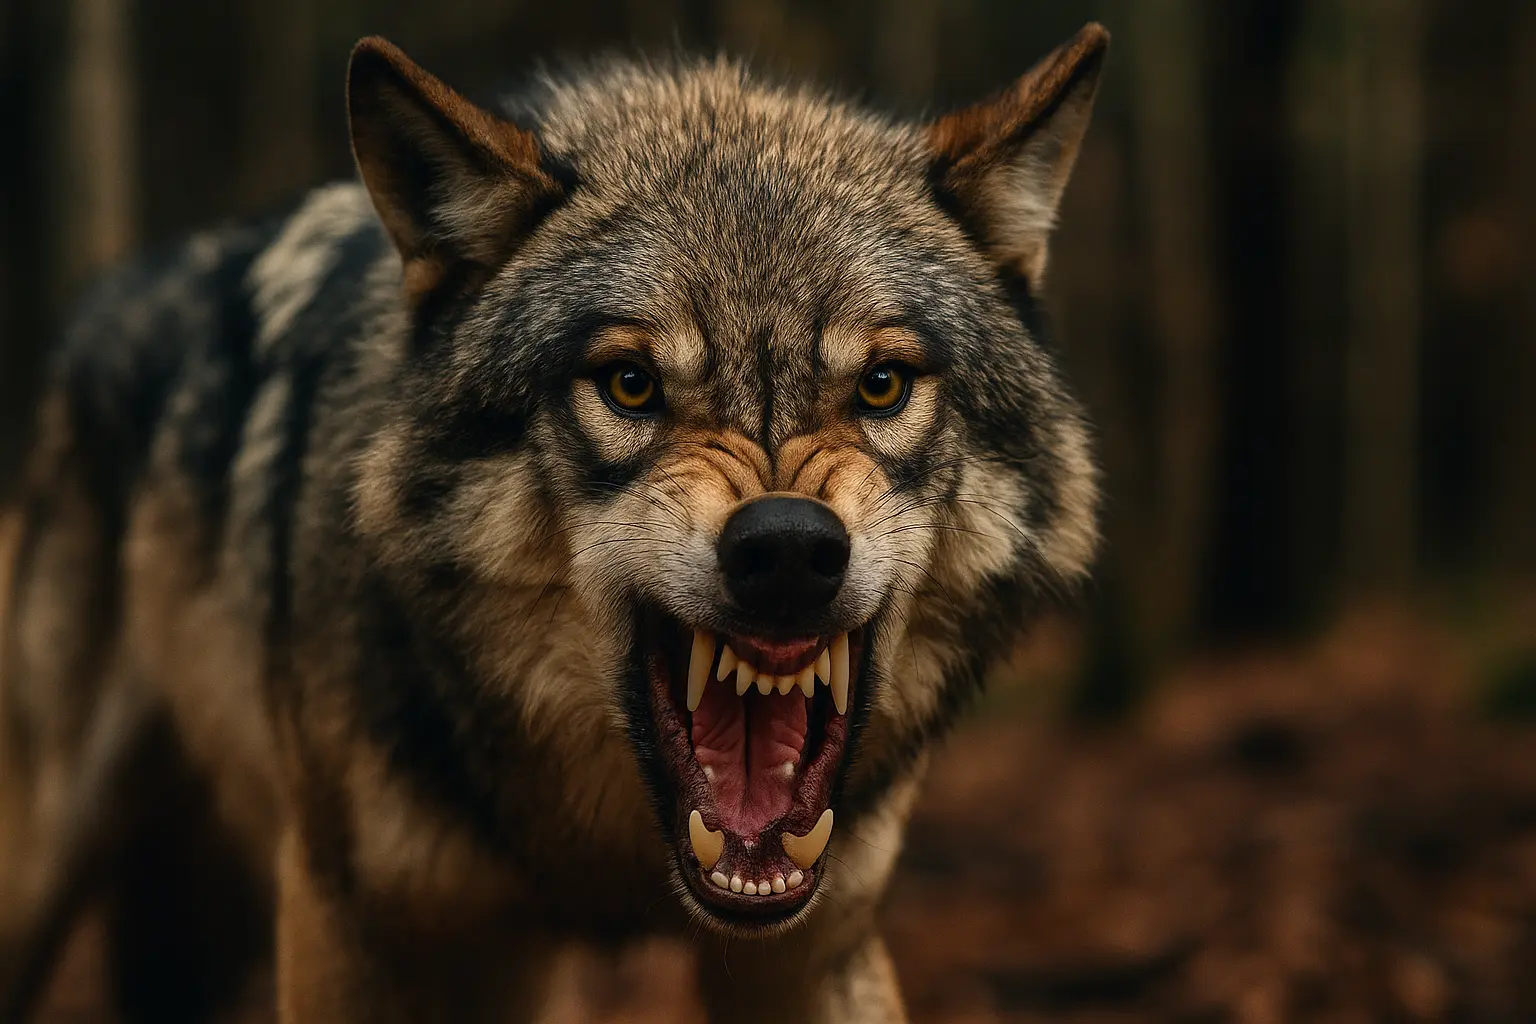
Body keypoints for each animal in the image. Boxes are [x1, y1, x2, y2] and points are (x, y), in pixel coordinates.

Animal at [0, 22, 1105, 1023]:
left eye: (881, 385)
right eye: (629, 385)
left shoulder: (811, 950)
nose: (789, 547)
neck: (606, 862)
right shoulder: (343, 929)